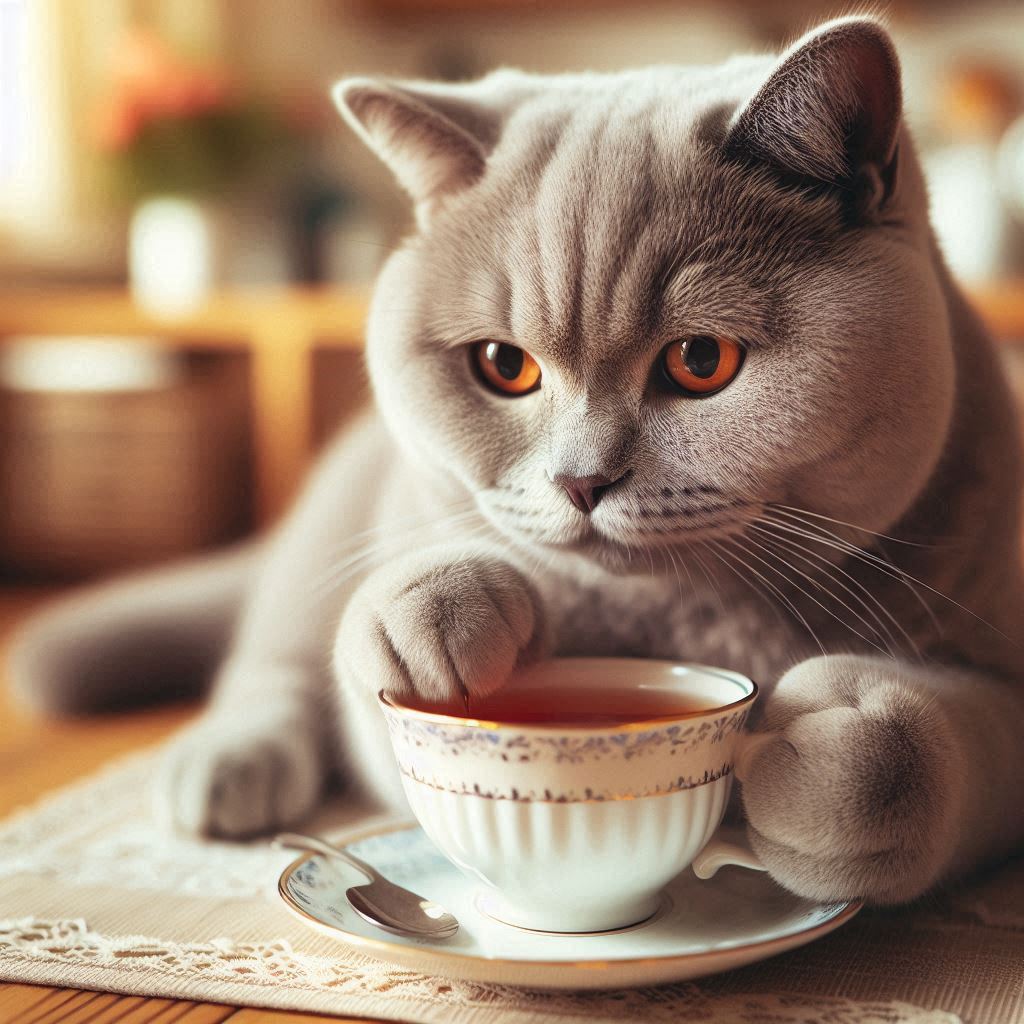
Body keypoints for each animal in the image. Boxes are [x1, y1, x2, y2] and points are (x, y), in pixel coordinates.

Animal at [9, 18, 1024, 905]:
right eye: (505, 365)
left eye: (702, 360)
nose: (584, 480)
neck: (681, 626)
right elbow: (381, 680)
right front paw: (440, 614)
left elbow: (937, 753)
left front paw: (817, 754)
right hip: (325, 531)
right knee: (271, 659)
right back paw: (224, 771)